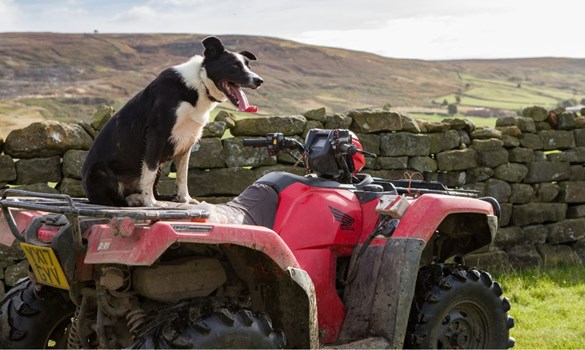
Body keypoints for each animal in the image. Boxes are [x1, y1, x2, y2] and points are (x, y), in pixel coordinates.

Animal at [81, 37, 262, 206]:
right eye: (234, 66)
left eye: (249, 67)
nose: (259, 81)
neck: (199, 84)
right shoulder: (156, 135)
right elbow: (149, 173)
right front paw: (150, 203)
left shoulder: (187, 141)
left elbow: (182, 176)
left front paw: (184, 199)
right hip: (100, 171)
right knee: (116, 200)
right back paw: (136, 199)